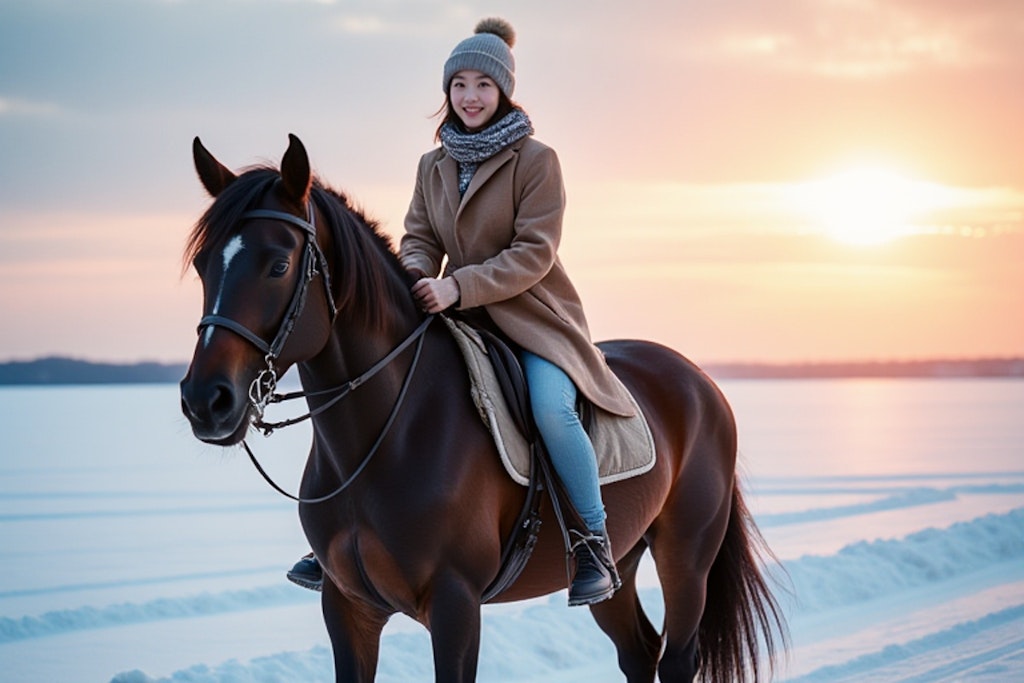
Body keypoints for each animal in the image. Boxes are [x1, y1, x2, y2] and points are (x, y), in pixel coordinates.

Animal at [180, 135, 782, 683]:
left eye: (279, 265)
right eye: (204, 264)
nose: (205, 401)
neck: (385, 438)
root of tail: (699, 380)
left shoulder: (455, 605)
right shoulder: (347, 607)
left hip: (686, 555)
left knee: (676, 658)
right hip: (624, 564)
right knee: (638, 652)